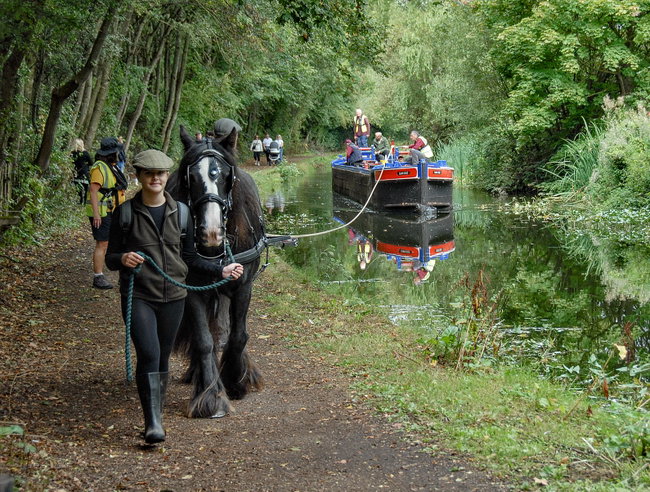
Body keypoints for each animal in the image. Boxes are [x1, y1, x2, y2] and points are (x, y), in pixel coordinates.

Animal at [167, 125, 265, 418]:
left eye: (224, 175)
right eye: (190, 177)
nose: (211, 233)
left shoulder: (243, 285)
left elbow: (238, 336)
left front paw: (236, 380)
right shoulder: (193, 289)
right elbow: (203, 339)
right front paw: (210, 396)